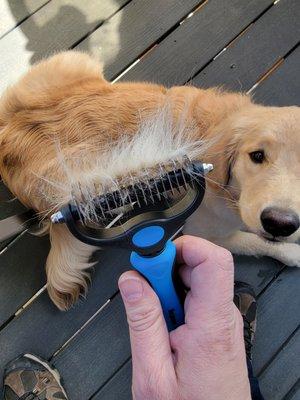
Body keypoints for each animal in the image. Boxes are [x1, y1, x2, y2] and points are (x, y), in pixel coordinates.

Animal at [0, 51, 298, 310]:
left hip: (73, 62)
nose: (279, 223)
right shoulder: (205, 233)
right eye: (257, 156)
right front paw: (292, 253)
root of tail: (7, 136)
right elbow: (255, 242)